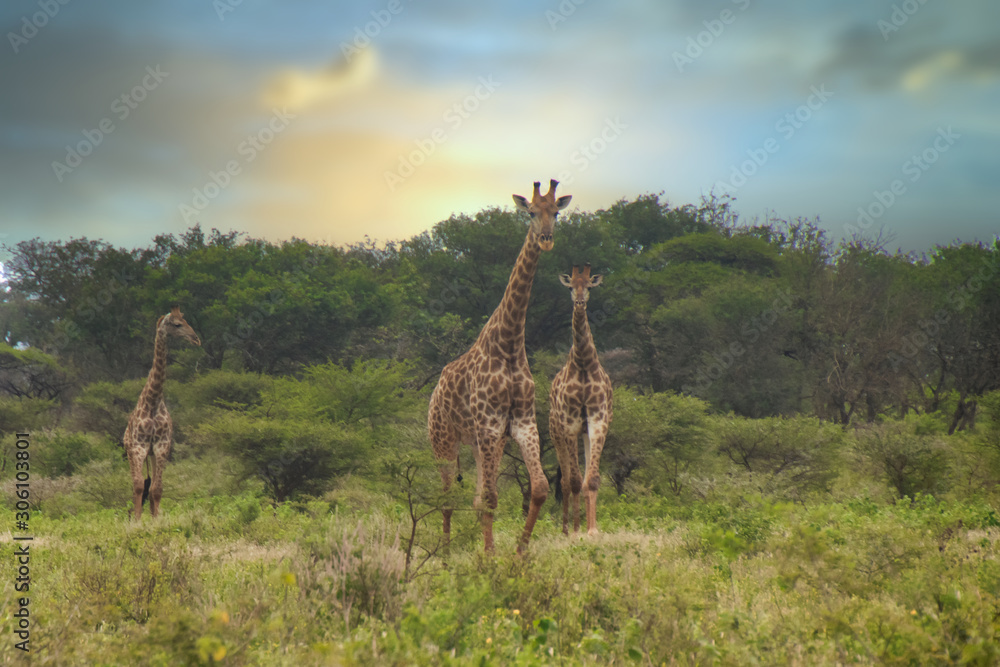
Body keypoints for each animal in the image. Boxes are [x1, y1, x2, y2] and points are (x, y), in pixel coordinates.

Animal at [123, 306, 201, 520]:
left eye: (185, 321)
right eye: (177, 324)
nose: (196, 339)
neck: (153, 400)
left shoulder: (161, 446)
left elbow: (156, 489)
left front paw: (156, 520)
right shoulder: (138, 447)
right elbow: (139, 486)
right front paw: (137, 521)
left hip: (151, 454)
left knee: (150, 486)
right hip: (131, 450)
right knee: (138, 485)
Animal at [428, 179, 571, 554]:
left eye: (557, 213)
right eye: (531, 212)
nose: (546, 239)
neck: (509, 343)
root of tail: (433, 395)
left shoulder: (520, 422)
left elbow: (538, 488)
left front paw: (518, 554)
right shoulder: (491, 424)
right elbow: (492, 498)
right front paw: (490, 558)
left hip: (477, 443)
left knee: (474, 495)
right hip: (443, 440)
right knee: (447, 497)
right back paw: (444, 556)